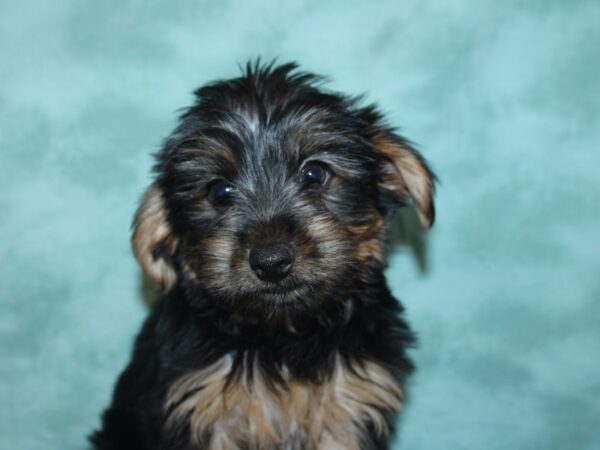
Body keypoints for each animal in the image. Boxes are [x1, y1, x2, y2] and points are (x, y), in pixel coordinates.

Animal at [90, 60, 436, 450]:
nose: (271, 262)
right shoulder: (203, 410)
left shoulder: (348, 407)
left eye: (315, 173)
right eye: (219, 191)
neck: (283, 334)